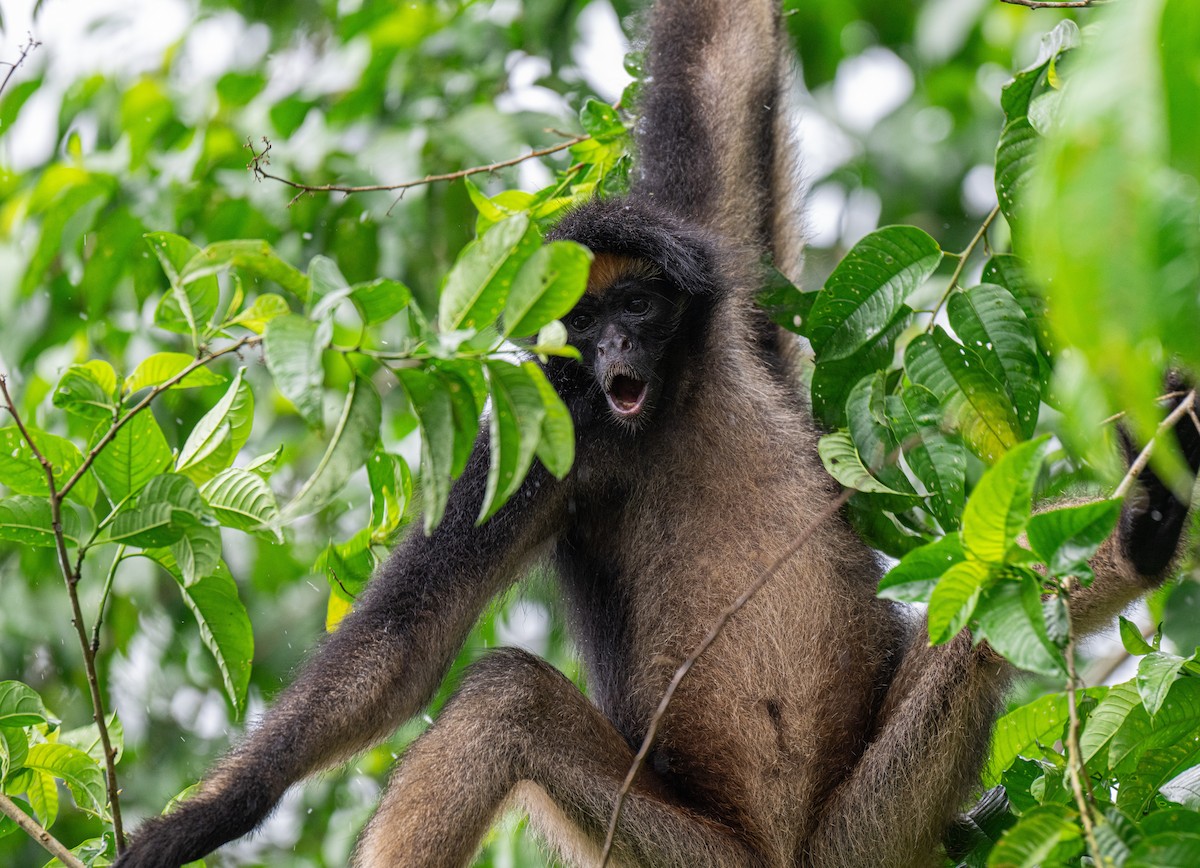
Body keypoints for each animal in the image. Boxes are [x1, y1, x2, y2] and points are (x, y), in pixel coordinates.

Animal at [114, 1, 1200, 866]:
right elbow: (408, 642)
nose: (617, 351)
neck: (666, 408)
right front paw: (215, 811)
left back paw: (1145, 530)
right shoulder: (548, 437)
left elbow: (724, 51)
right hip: (690, 851)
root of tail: (794, 852)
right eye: (583, 324)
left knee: (987, 599)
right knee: (504, 699)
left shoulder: (734, 308)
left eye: (637, 305)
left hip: (873, 816)